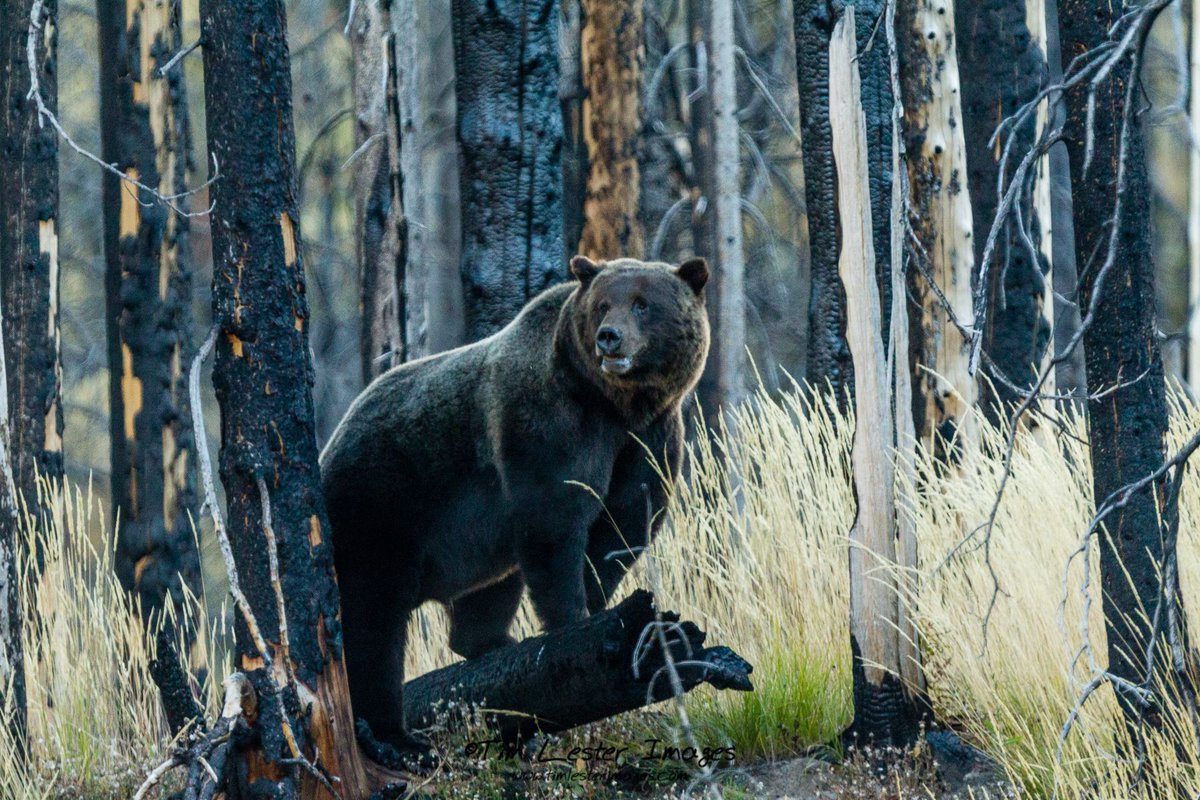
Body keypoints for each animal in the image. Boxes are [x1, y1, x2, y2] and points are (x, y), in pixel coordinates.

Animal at [324, 257, 705, 762]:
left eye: (643, 303)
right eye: (604, 304)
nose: (610, 337)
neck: (614, 403)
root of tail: (332, 442)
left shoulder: (650, 437)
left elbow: (623, 527)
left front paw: (598, 605)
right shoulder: (549, 425)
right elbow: (556, 523)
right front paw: (574, 621)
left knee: (488, 591)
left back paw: (493, 644)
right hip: (381, 504)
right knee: (374, 620)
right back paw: (395, 735)